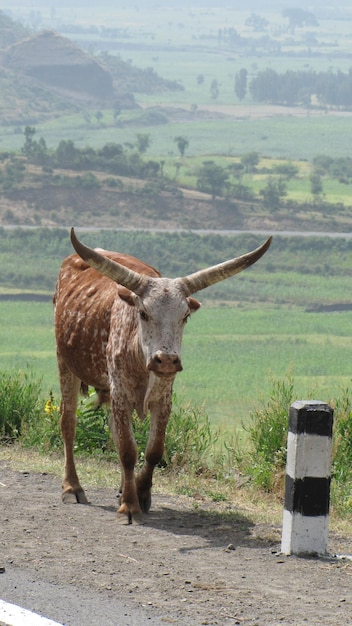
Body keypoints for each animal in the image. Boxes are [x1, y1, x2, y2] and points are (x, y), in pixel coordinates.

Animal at [53, 229, 270, 520]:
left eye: (185, 316)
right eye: (144, 313)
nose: (166, 360)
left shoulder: (164, 397)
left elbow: (153, 450)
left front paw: (141, 494)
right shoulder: (120, 393)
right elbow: (128, 450)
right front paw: (129, 506)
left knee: (112, 430)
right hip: (65, 362)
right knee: (68, 422)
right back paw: (72, 488)